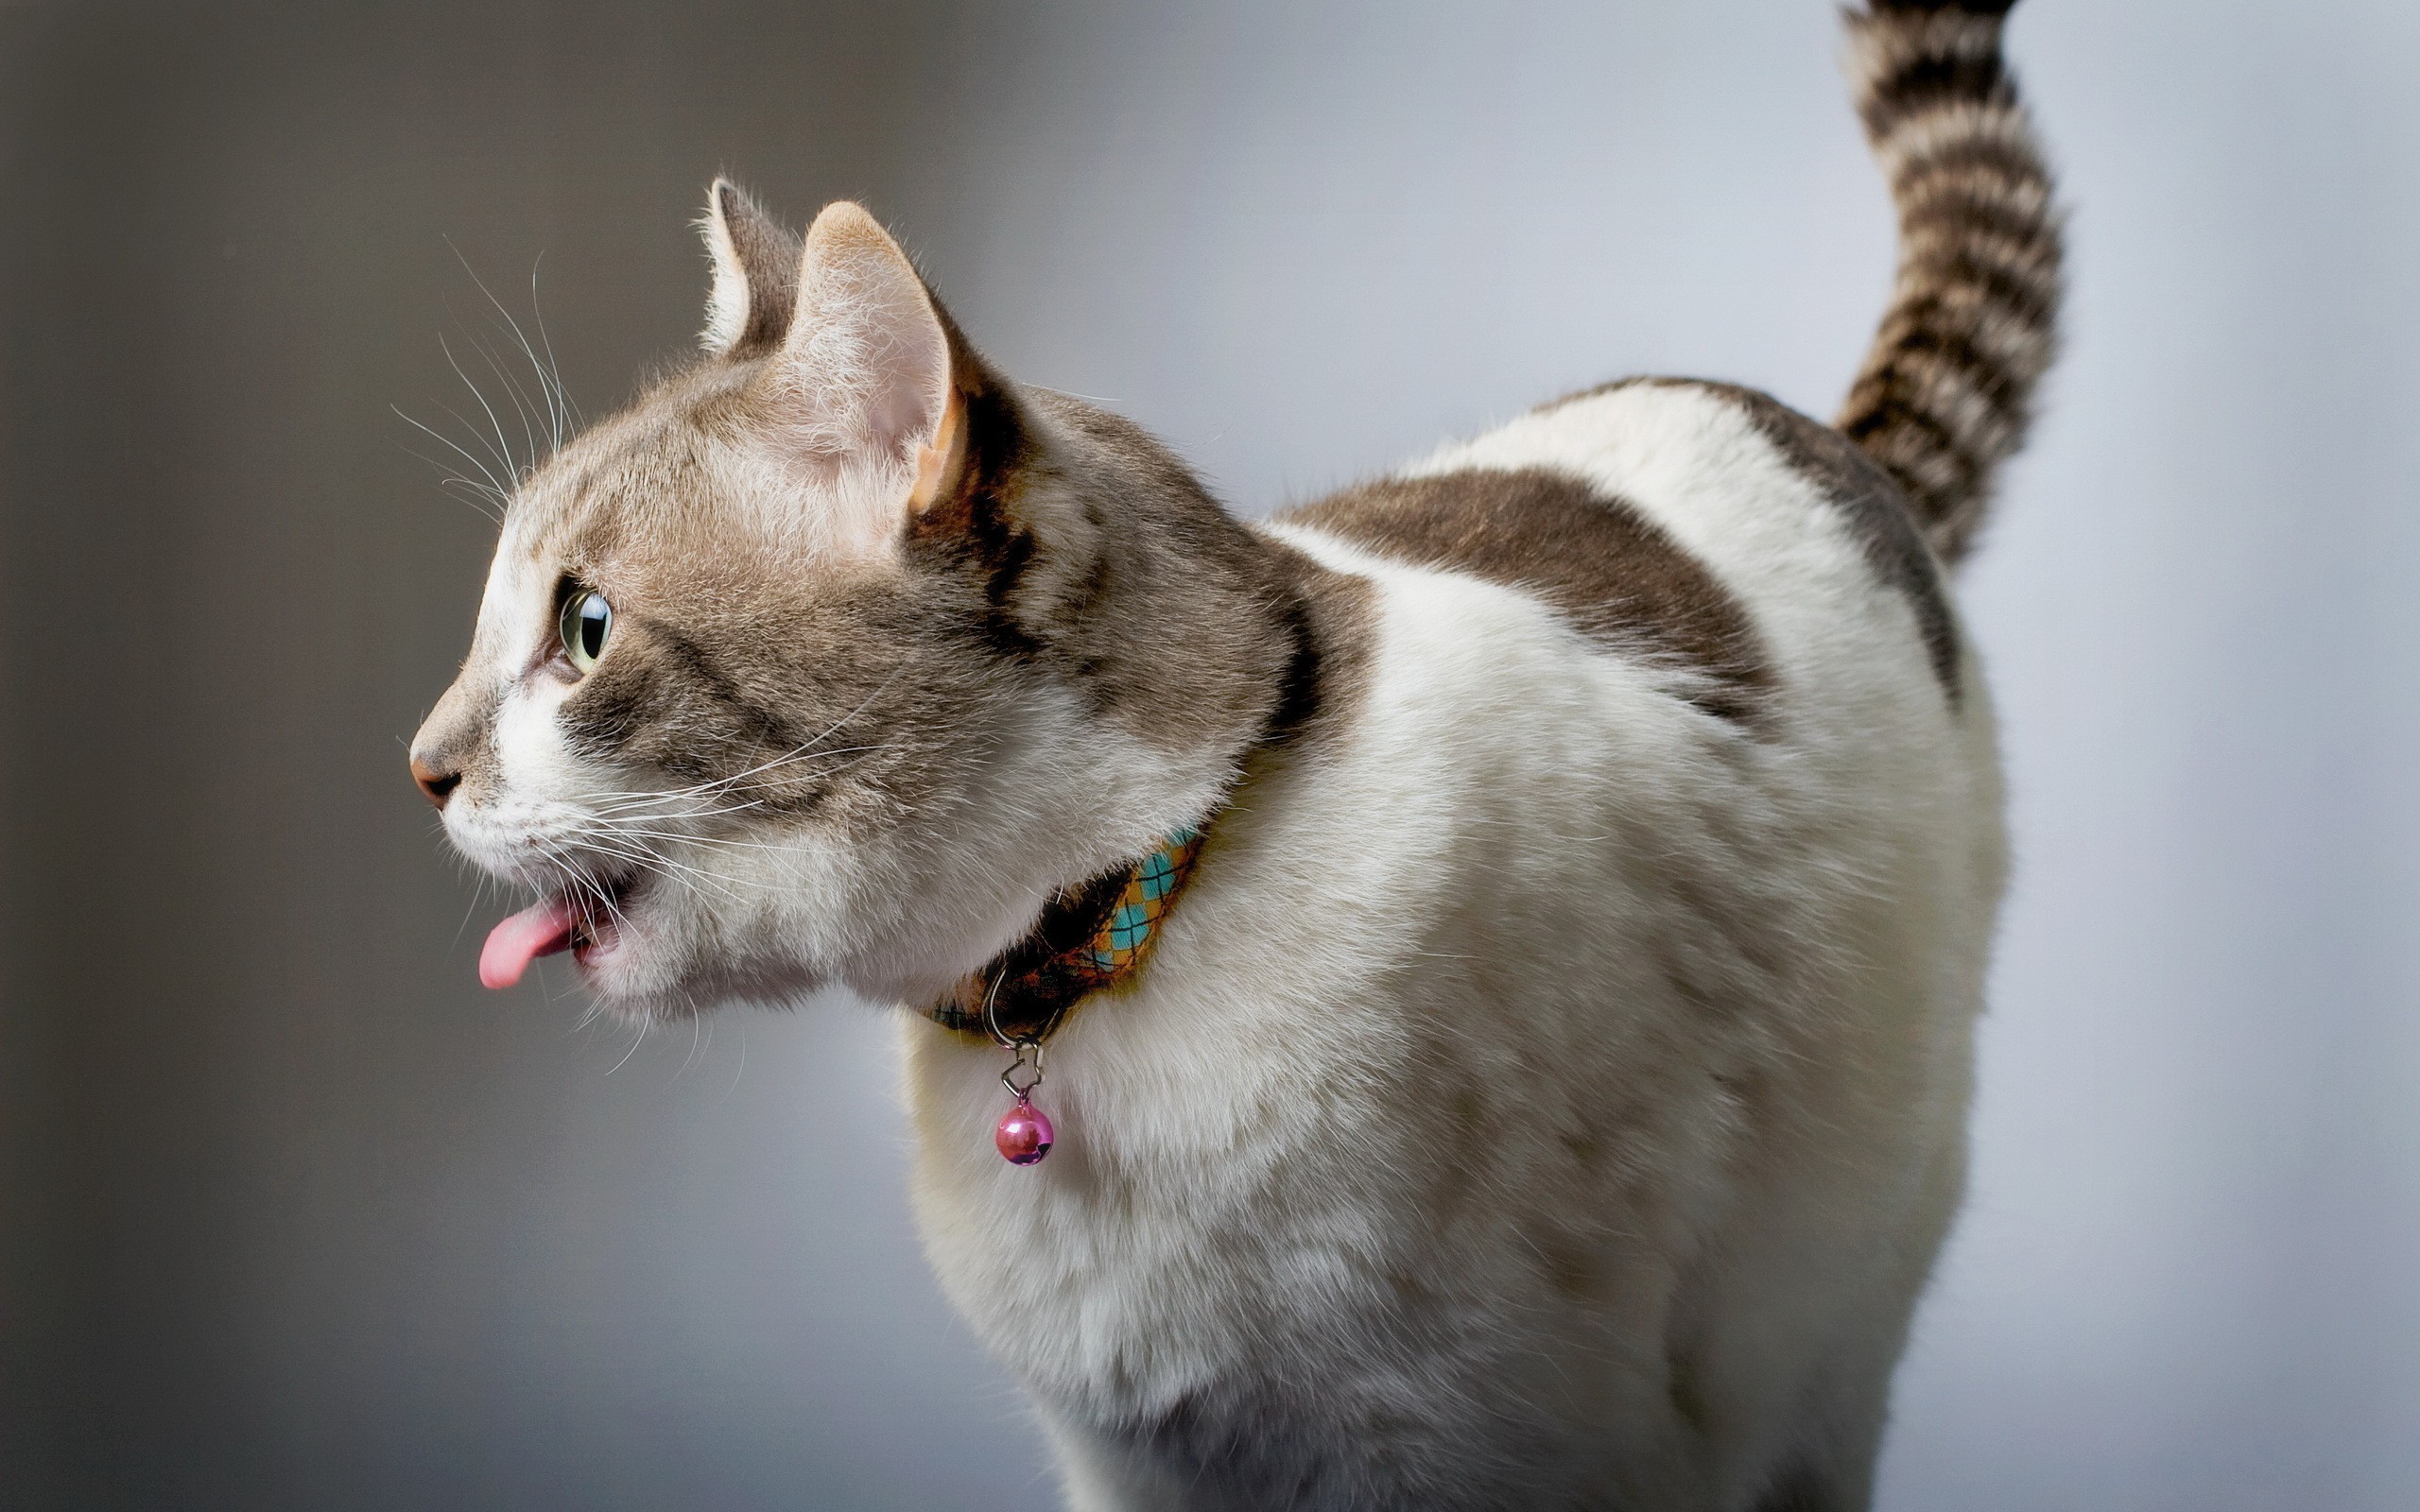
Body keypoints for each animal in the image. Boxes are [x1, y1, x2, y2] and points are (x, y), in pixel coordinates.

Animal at [411, 3, 2042, 1509]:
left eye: (586, 630)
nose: (419, 766)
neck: (1106, 965)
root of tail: (1819, 430)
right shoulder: (1141, 1465)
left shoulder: (1511, 1453)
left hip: (1827, 1342)